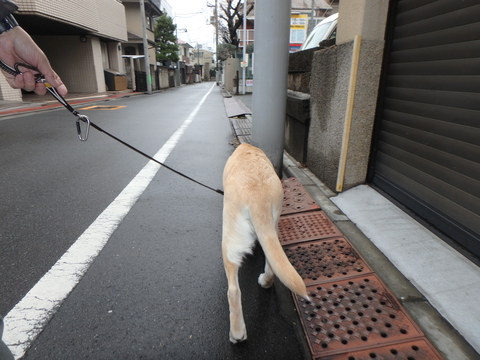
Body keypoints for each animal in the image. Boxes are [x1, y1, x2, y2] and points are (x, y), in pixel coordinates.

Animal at [221, 143, 308, 344]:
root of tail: (257, 197)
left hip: (229, 239)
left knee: (233, 290)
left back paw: (237, 333)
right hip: (272, 227)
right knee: (271, 263)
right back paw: (266, 281)